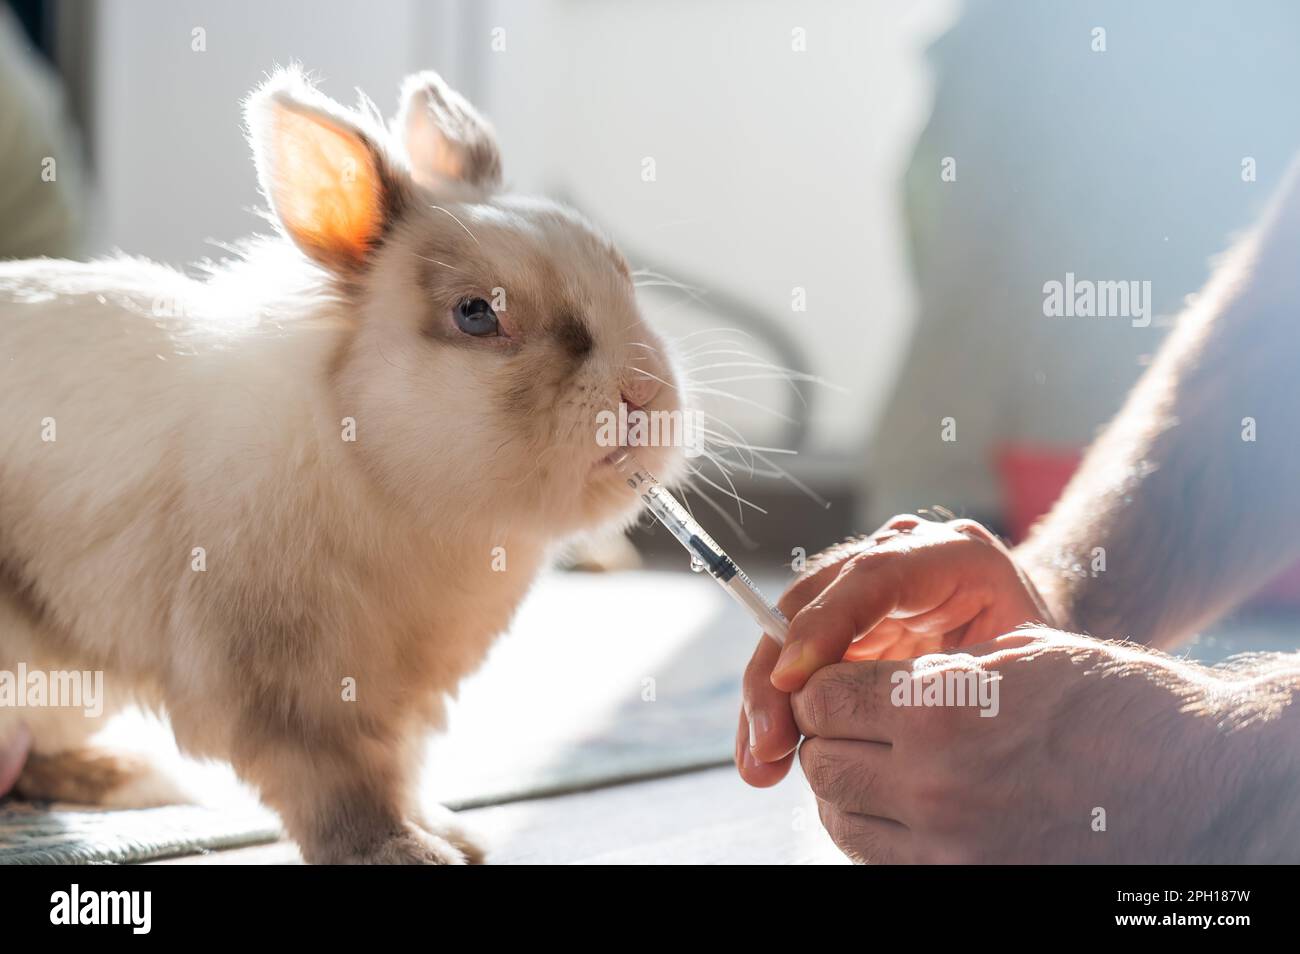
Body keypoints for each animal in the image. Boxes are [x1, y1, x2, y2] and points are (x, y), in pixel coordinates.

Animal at [0, 65, 686, 863]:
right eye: (476, 314)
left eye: (621, 274)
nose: (644, 393)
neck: (370, 461)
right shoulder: (292, 691)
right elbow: (338, 787)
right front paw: (405, 853)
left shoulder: (403, 699)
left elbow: (402, 767)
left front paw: (452, 831)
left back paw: (125, 775)